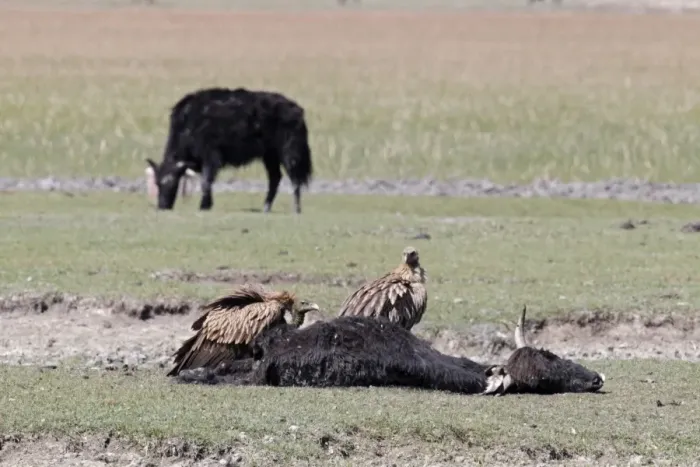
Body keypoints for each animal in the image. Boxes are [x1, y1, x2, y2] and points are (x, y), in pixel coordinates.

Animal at [145, 87, 313, 214]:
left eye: (171, 182)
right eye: (157, 183)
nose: (162, 207)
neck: (187, 126)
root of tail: (298, 110)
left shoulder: (211, 156)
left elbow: (206, 181)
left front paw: (204, 206)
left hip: (289, 152)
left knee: (294, 179)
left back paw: (296, 209)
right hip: (269, 156)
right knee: (275, 178)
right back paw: (266, 208)